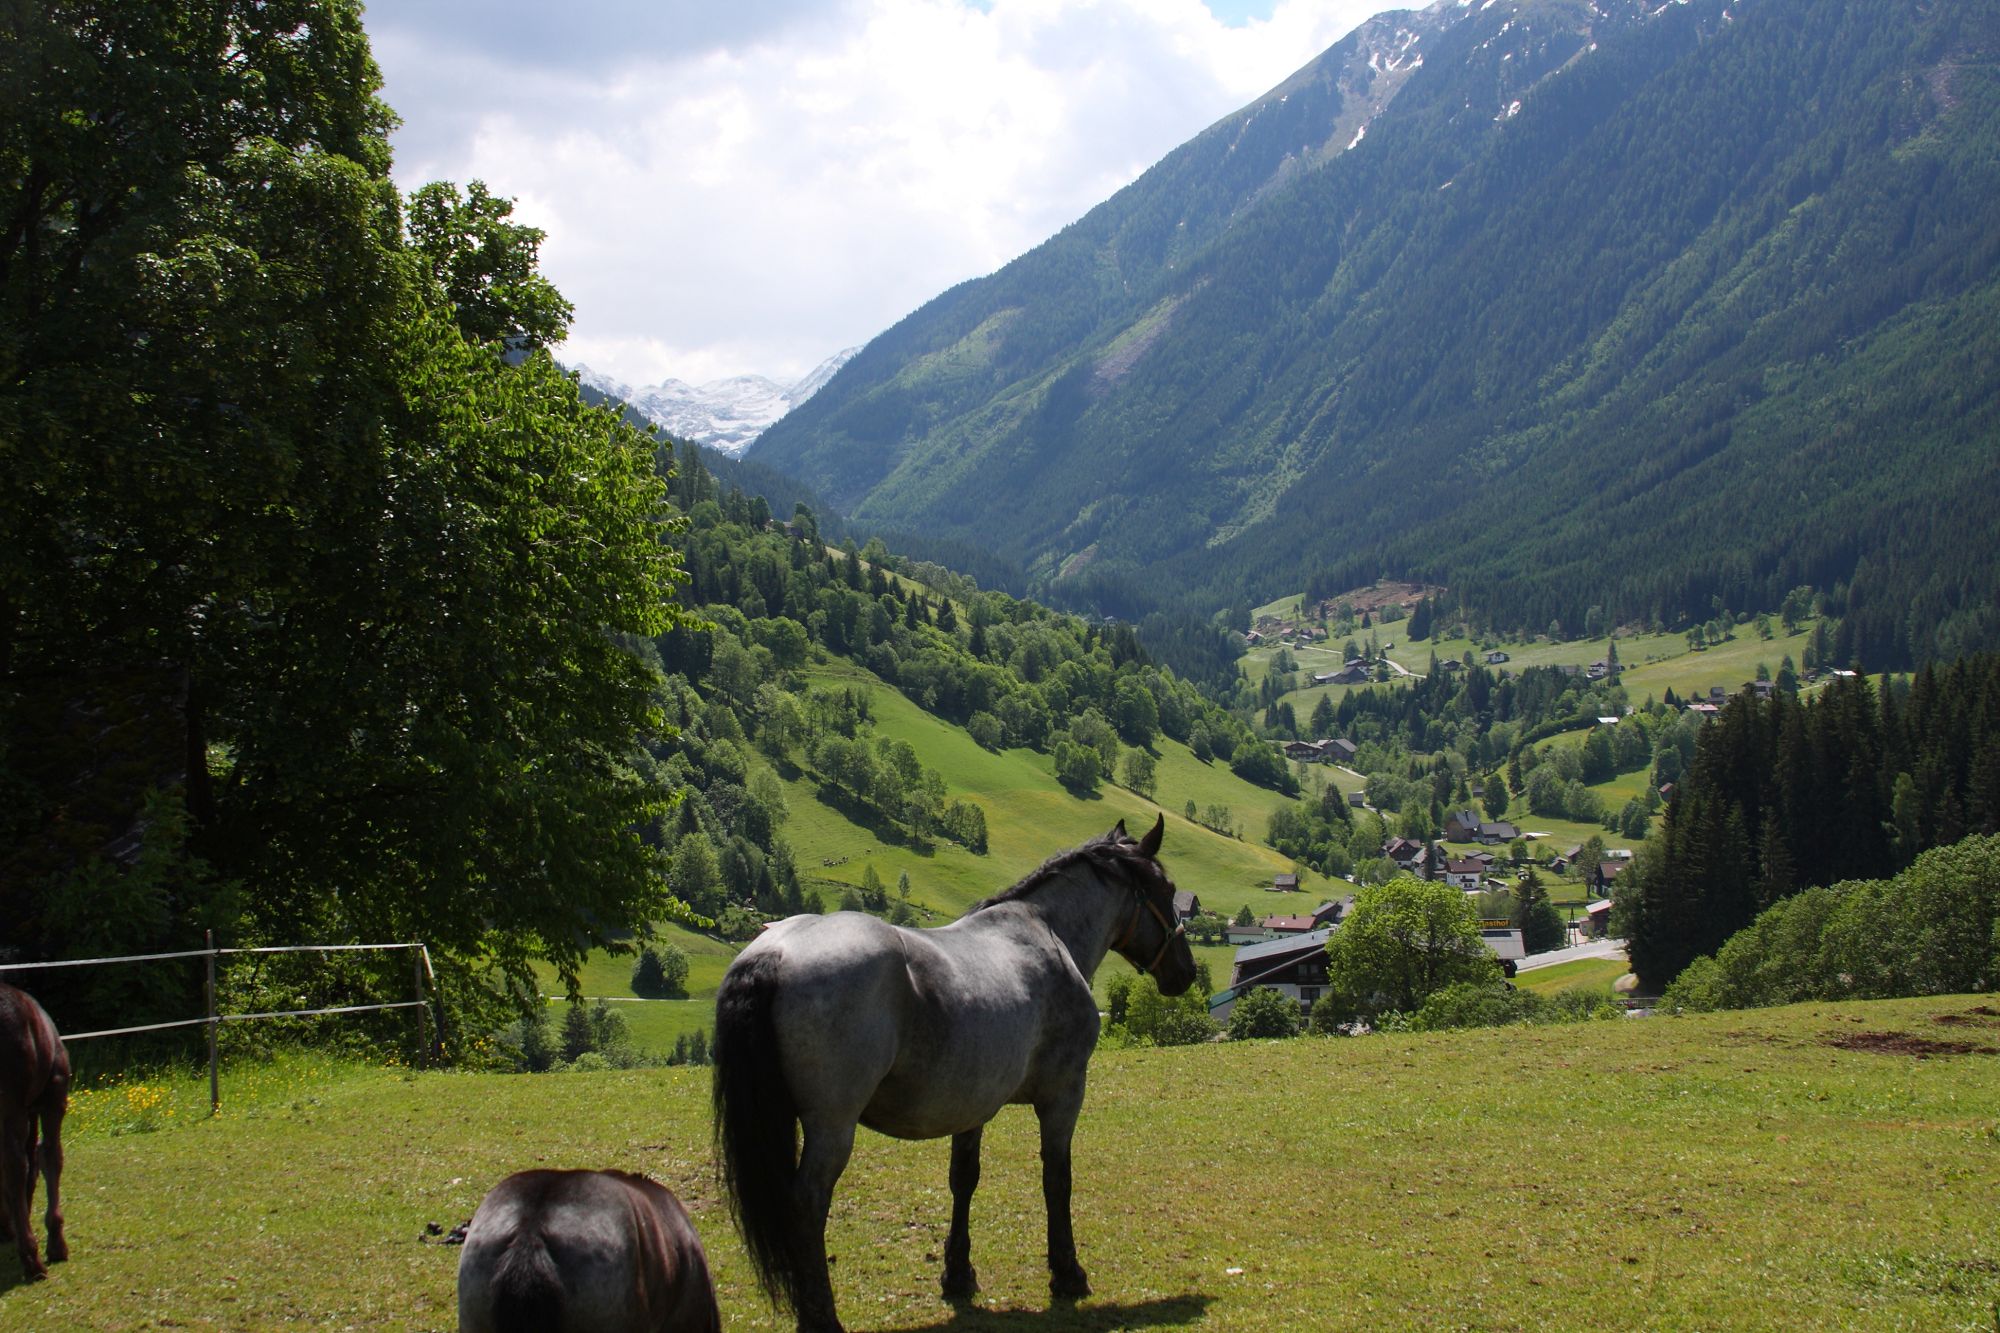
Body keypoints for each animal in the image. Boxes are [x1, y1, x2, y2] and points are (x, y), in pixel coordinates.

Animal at [713, 815, 1196, 1332]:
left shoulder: (972, 1106)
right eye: (1167, 890)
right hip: (831, 1128)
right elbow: (1057, 1179)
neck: (1046, 934)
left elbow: (964, 1179)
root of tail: (775, 952)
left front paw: (958, 1272)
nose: (1186, 972)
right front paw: (1067, 1272)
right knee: (806, 1203)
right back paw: (821, 1317)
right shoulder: (1064, 1095)